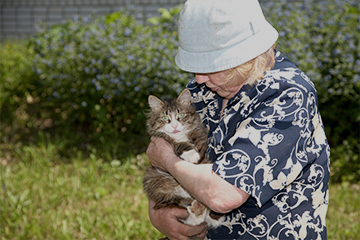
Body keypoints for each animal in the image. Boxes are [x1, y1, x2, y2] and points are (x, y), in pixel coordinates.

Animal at [143, 88, 222, 229]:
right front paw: (191, 154)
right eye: (165, 118)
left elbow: (202, 159)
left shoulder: (199, 137)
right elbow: (180, 144)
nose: (174, 126)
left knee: (208, 219)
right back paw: (197, 210)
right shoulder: (165, 140)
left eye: (180, 115)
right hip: (154, 182)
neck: (180, 136)